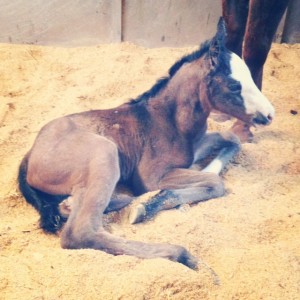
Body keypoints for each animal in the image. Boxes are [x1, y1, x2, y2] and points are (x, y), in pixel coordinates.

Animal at [17, 19, 274, 270]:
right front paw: (147, 206)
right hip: (104, 152)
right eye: (234, 85)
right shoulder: (152, 177)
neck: (169, 121)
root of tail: (29, 155)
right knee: (80, 233)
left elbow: (231, 140)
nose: (270, 114)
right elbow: (215, 182)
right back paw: (179, 254)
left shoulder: (196, 146)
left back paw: (82, 203)